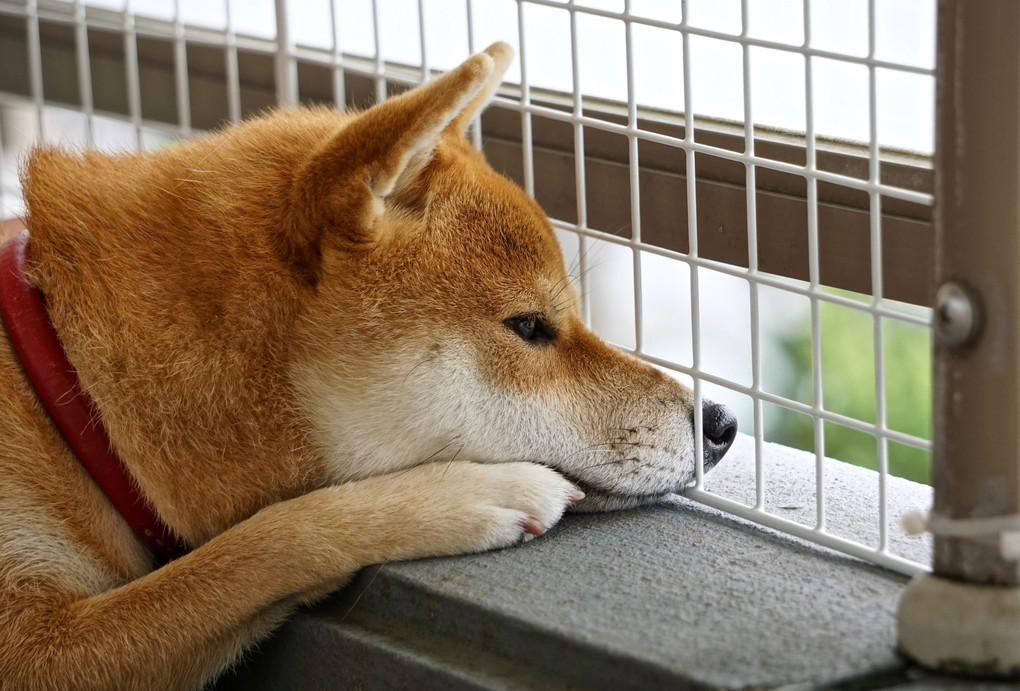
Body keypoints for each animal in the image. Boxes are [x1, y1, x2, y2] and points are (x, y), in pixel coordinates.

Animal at [0, 44, 738, 689]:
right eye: (529, 326)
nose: (723, 422)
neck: (74, 381)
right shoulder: (39, 650)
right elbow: (265, 539)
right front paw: (460, 494)